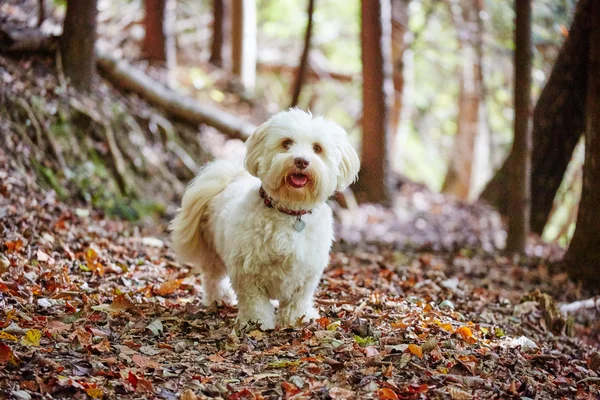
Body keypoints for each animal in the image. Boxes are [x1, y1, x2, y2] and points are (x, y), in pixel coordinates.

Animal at [166, 108, 358, 328]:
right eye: (286, 143)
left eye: (317, 148)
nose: (301, 161)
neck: (290, 212)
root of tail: (230, 179)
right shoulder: (247, 270)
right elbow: (254, 301)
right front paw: (257, 322)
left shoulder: (307, 272)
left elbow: (298, 299)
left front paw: (296, 319)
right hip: (213, 250)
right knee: (213, 277)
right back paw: (219, 298)